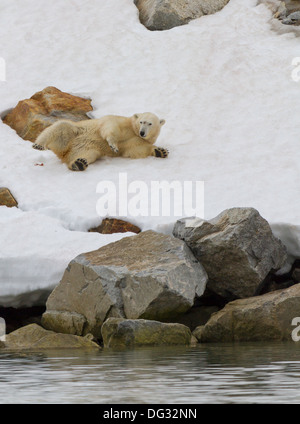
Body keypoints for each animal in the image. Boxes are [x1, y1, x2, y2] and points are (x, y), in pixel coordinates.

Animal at [33, 114, 169, 172]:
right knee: (60, 127)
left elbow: (136, 149)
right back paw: (38, 144)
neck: (133, 130)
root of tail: (65, 152)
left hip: (85, 149)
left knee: (86, 155)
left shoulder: (136, 140)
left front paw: (160, 151)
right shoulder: (121, 122)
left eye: (150, 123)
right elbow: (110, 126)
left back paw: (79, 163)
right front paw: (113, 145)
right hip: (70, 135)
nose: (142, 132)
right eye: (141, 121)